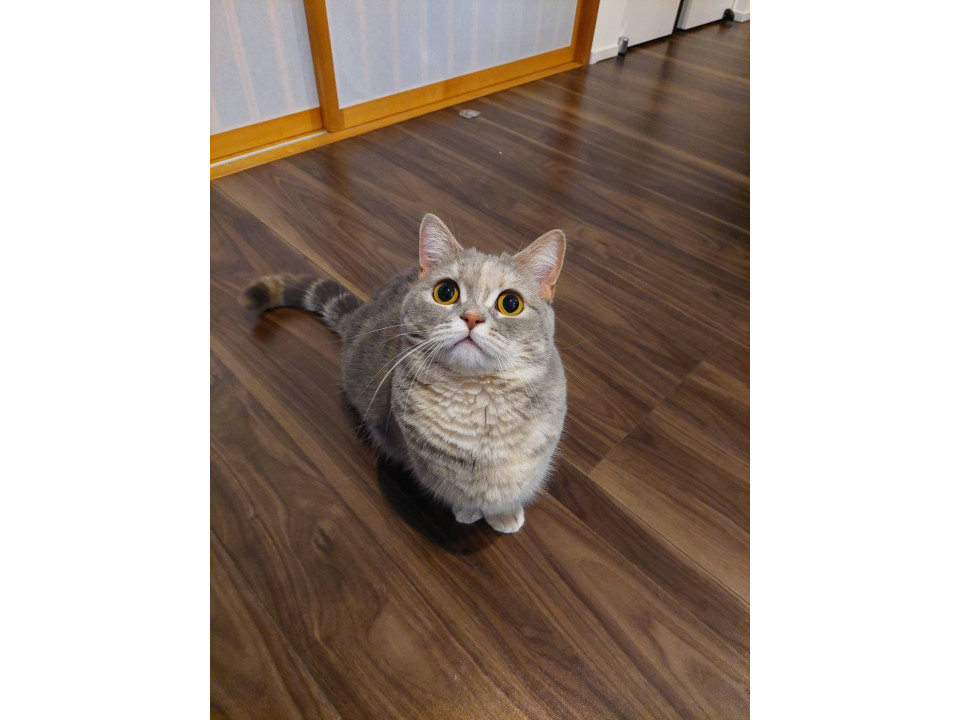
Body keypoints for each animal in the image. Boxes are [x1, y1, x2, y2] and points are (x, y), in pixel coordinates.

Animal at [242, 214, 567, 533]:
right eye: (446, 292)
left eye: (510, 303)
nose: (472, 317)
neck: (478, 404)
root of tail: (359, 316)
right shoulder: (429, 463)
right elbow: (462, 494)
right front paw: (469, 512)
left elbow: (508, 489)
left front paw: (504, 515)